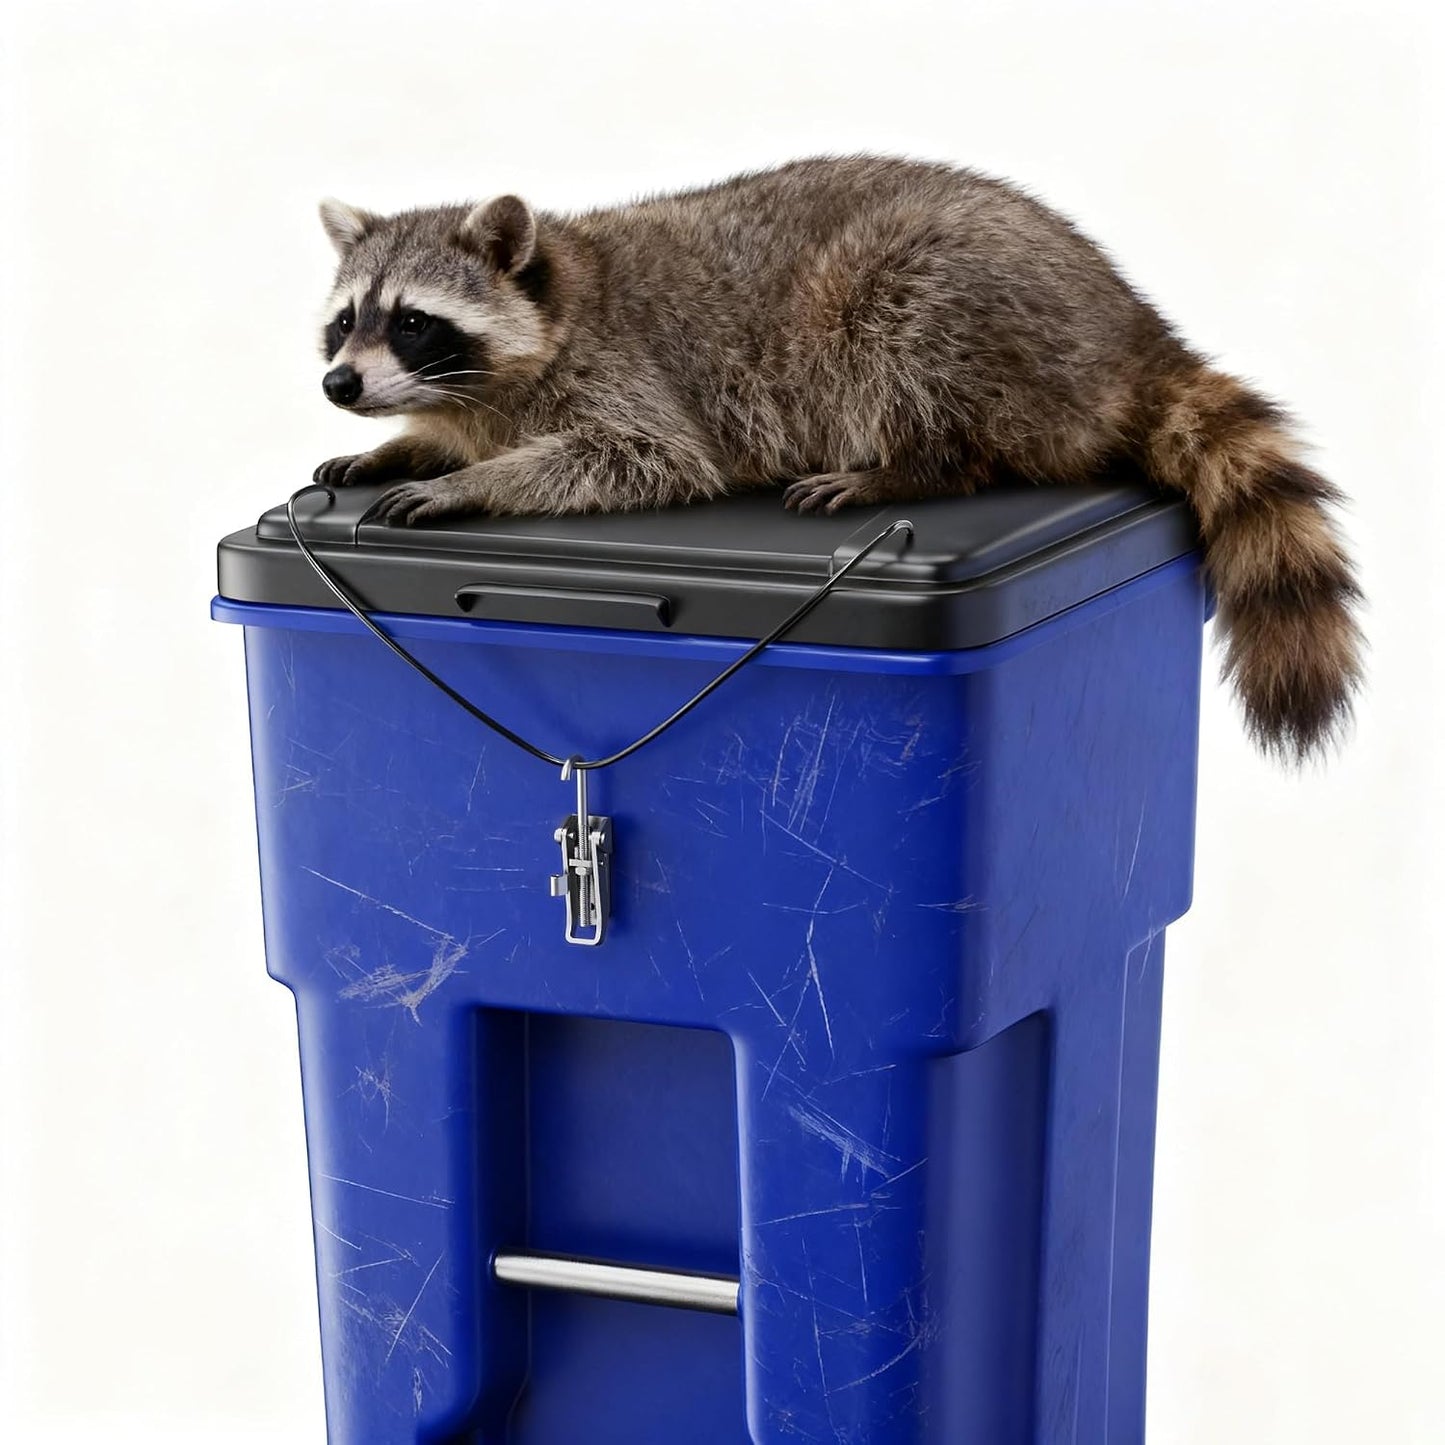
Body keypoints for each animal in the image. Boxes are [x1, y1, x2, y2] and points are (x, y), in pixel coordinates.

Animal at [314, 155, 1363, 761]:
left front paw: (470, 481)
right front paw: (402, 448)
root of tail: (1128, 327)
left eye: (411, 323)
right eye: (343, 320)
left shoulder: (627, 376)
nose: (339, 385)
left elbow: (640, 460)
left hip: (956, 301)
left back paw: (914, 465)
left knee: (900, 336)